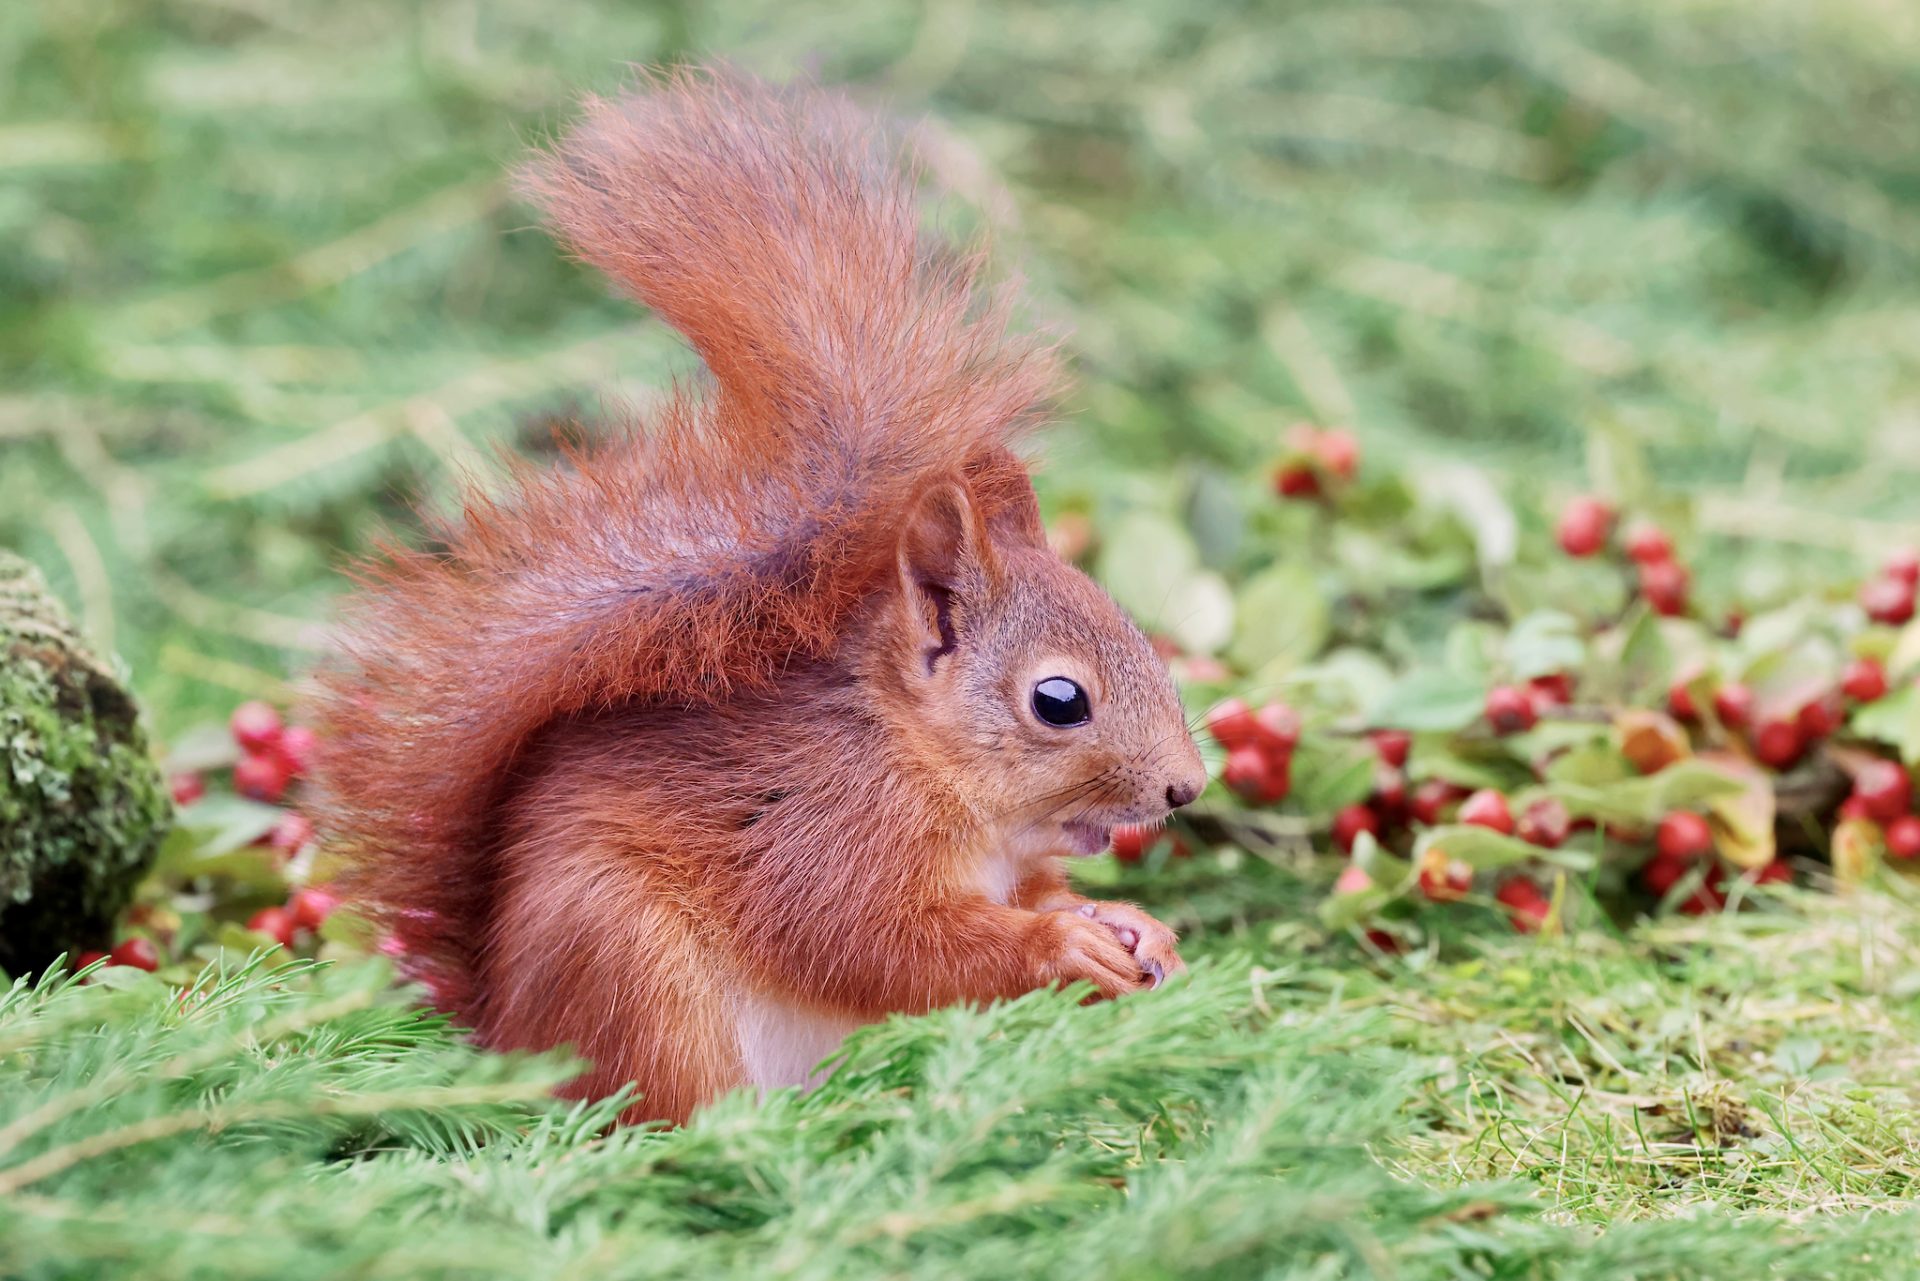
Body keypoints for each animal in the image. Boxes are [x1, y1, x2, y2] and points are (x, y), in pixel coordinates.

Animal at [314, 67, 1205, 1121]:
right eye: (1059, 701)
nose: (1187, 787)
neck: (920, 759)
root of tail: (503, 1031)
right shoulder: (823, 831)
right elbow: (877, 943)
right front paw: (1059, 944)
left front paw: (1133, 922)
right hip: (632, 966)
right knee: (664, 1110)